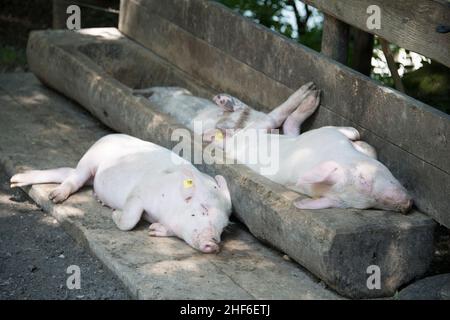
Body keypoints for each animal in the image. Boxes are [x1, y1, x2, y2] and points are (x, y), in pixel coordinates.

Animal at [10, 133, 232, 252]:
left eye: (223, 228)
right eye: (203, 209)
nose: (214, 244)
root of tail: (108, 136)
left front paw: (153, 230)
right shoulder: (138, 194)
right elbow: (130, 219)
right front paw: (116, 214)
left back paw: (16, 180)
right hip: (89, 160)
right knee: (73, 179)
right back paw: (49, 195)